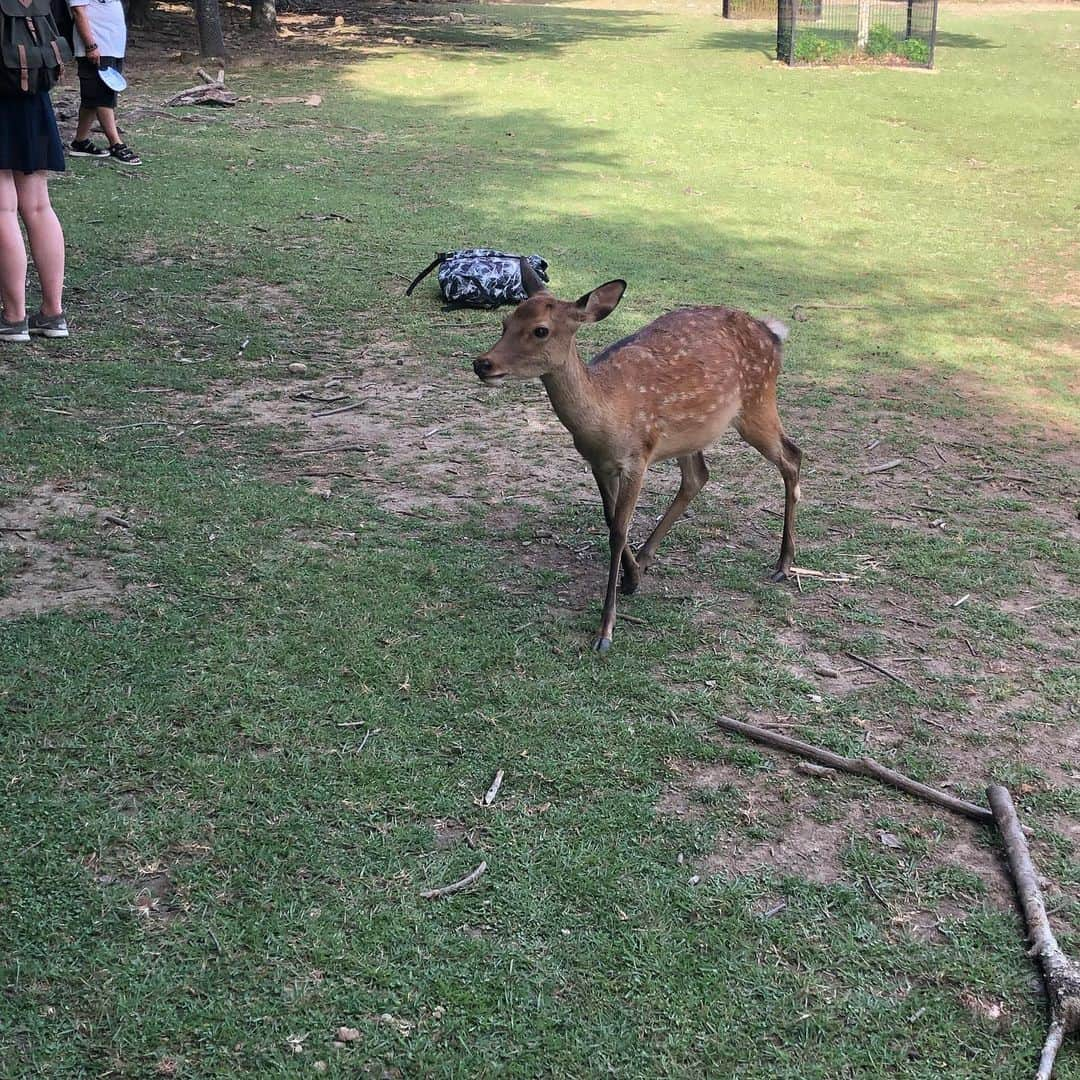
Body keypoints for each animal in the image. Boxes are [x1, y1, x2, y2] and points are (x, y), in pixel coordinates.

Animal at [475, 260, 803, 648]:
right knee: (698, 476)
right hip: (689, 434)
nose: (483, 364)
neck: (605, 417)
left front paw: (606, 629)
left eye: (541, 330)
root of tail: (773, 334)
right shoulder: (598, 463)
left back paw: (784, 564)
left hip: (757, 403)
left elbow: (618, 529)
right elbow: (609, 518)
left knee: (792, 455)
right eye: (506, 321)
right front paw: (631, 578)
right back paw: (647, 558)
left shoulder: (637, 458)